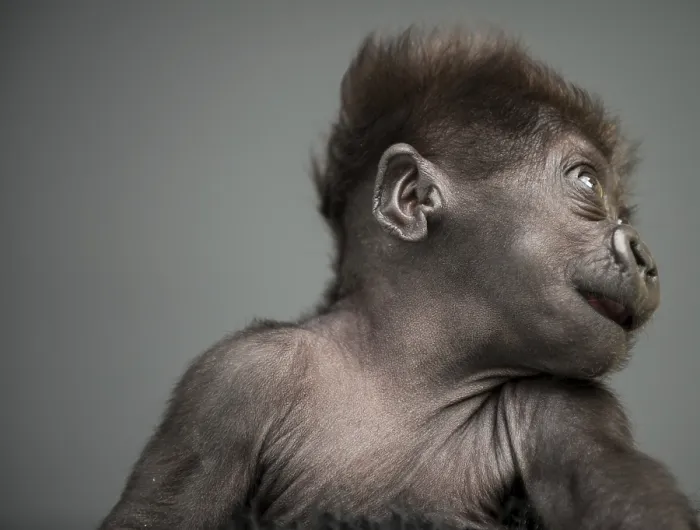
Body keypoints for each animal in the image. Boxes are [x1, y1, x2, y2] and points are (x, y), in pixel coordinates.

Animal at [98, 27, 700, 530]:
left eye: (622, 210)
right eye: (587, 184)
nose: (645, 255)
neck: (409, 364)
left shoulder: (572, 405)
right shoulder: (230, 379)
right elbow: (158, 512)